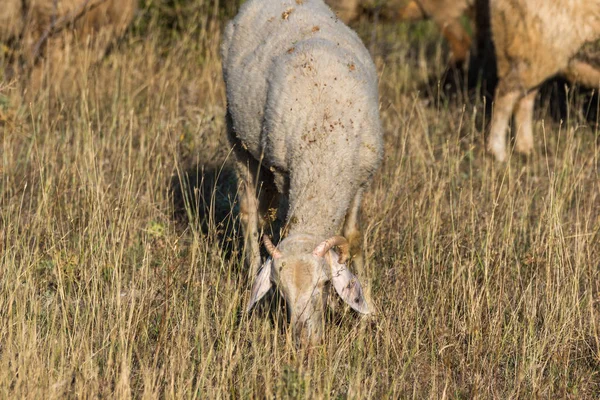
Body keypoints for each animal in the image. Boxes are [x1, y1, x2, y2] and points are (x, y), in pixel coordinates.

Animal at [221, 0, 384, 346]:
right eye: (281, 293)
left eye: (322, 285)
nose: (303, 343)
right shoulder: (285, 173)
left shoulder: (359, 180)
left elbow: (354, 239)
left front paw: (367, 312)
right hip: (238, 139)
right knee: (249, 214)